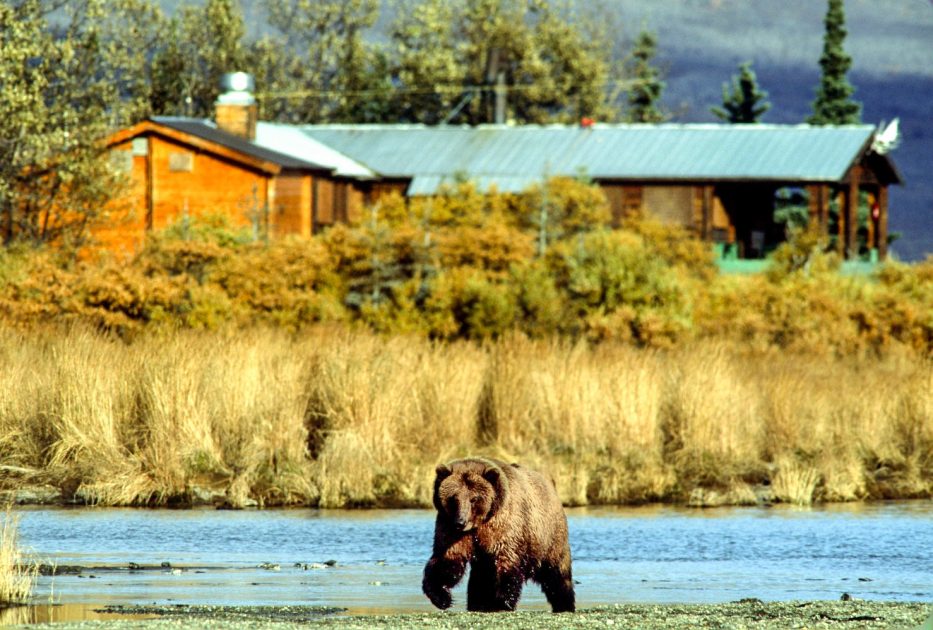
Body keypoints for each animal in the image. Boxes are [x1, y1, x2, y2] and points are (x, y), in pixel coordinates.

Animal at [422, 456, 576, 616]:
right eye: (454, 498)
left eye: (474, 499)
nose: (460, 522)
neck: (478, 524)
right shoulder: (451, 529)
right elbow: (448, 559)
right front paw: (442, 597)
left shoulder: (503, 526)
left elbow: (505, 563)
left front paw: (502, 602)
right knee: (479, 577)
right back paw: (477, 603)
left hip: (549, 537)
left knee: (556, 574)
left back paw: (564, 604)